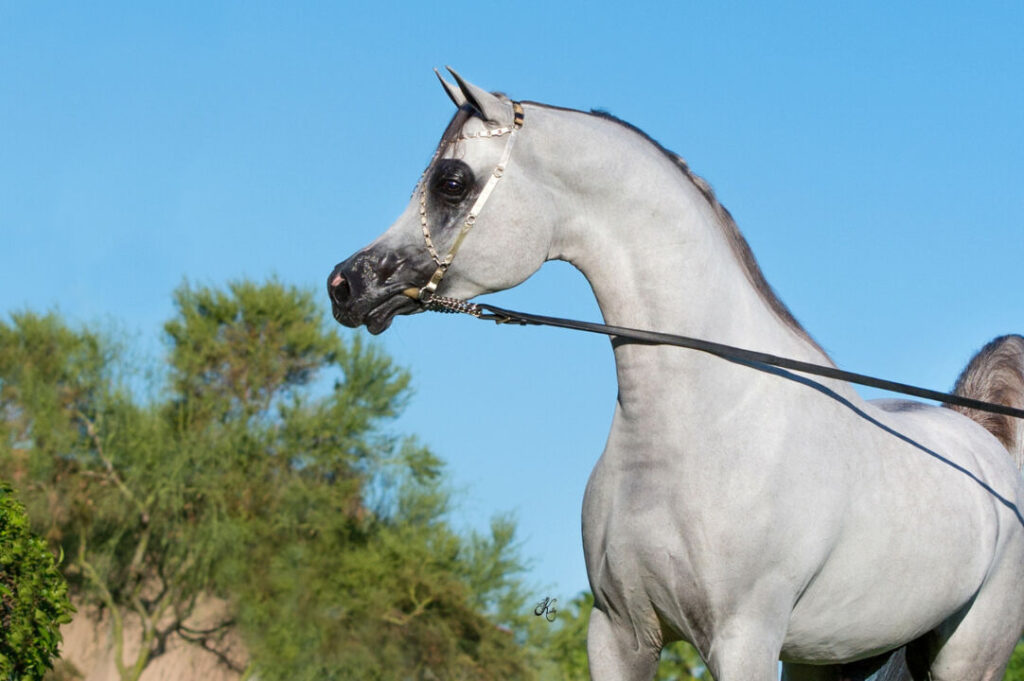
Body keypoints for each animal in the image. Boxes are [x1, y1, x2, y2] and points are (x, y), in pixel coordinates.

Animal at [327, 69, 1024, 681]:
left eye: (451, 181)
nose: (346, 284)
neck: (699, 428)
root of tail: (984, 437)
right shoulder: (619, 634)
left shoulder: (742, 641)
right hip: (832, 659)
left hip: (965, 658)